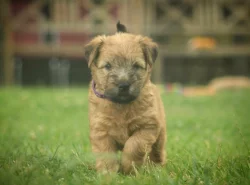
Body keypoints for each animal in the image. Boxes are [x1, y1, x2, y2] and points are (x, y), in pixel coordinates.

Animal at [84, 22, 166, 174]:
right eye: (108, 66)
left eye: (136, 66)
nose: (123, 85)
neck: (121, 106)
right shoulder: (101, 131)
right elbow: (106, 153)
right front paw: (107, 172)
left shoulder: (148, 126)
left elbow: (134, 145)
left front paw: (129, 167)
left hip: (160, 135)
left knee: (157, 153)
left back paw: (157, 169)